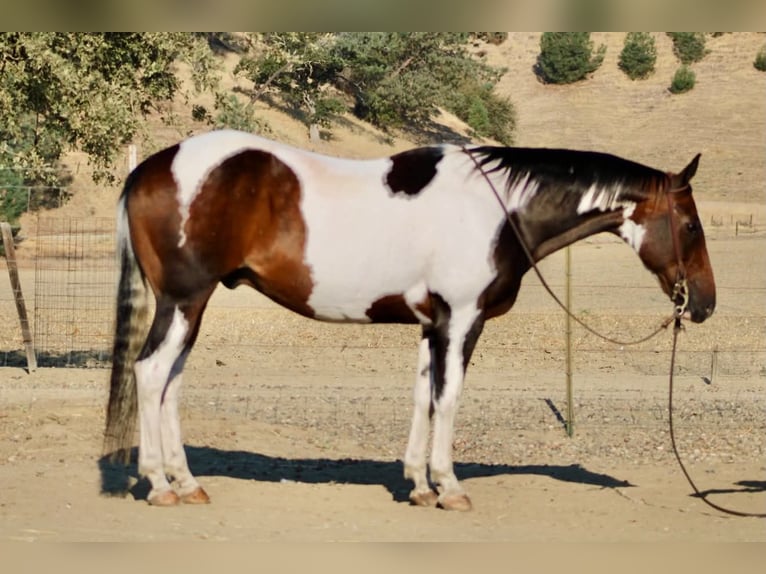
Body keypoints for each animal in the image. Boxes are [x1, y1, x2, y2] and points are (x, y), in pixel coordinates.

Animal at [103, 129, 716, 510]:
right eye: (690, 226)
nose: (704, 303)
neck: (498, 210)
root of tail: (151, 168)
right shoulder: (463, 321)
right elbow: (449, 398)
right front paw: (450, 486)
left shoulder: (431, 325)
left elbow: (424, 395)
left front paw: (420, 486)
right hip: (184, 299)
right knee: (151, 373)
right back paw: (159, 484)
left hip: (192, 305)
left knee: (169, 382)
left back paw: (187, 482)